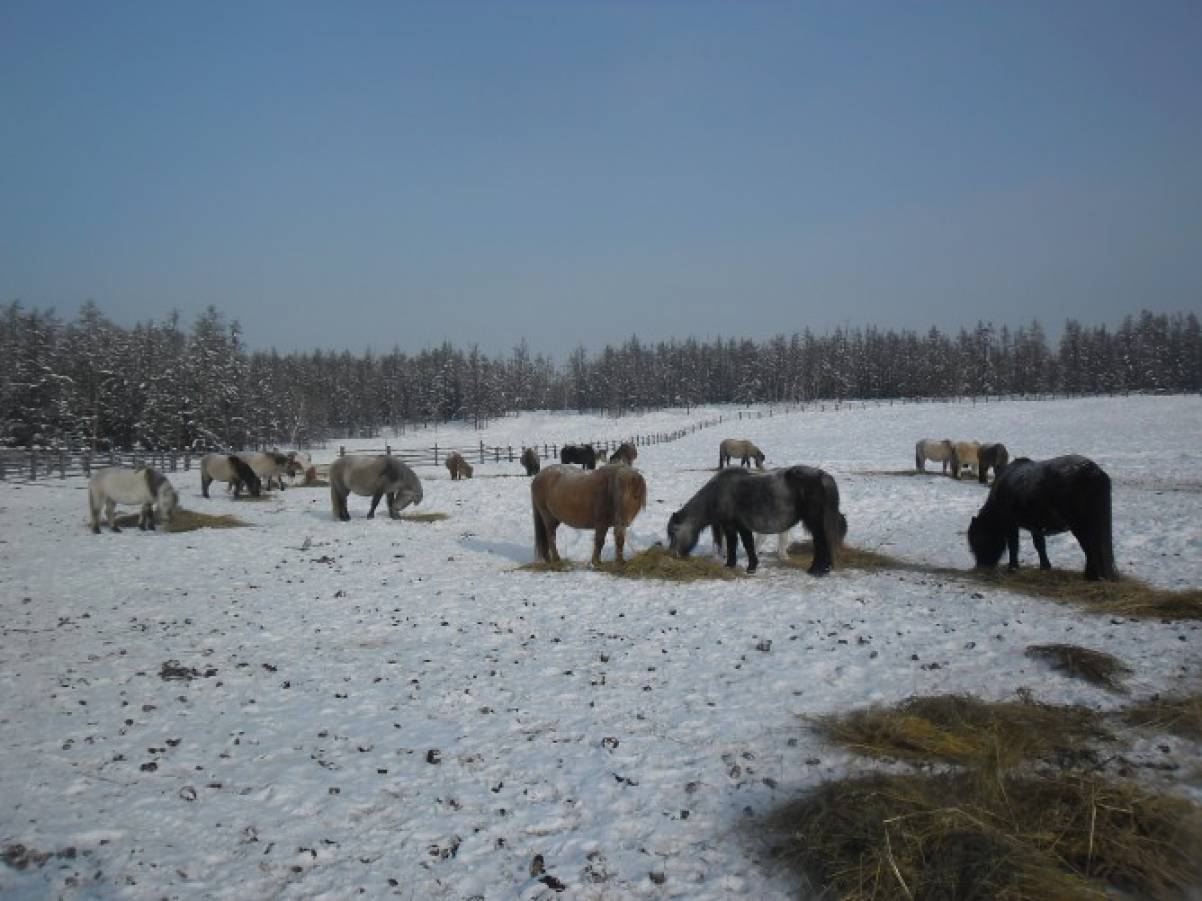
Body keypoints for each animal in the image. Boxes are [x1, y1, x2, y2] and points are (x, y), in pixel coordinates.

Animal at [668, 466, 846, 579]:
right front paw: (741, 566)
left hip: (814, 523)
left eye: (674, 532)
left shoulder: (735, 526)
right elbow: (741, 545)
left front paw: (741, 566)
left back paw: (816, 570)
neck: (719, 493)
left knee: (820, 543)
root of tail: (822, 476)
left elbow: (740, 545)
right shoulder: (737, 527)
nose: (674, 554)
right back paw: (825, 568)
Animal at [966, 454, 1115, 581]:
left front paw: (1012, 568)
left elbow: (1014, 546)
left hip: (1081, 526)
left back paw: (1090, 576)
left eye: (978, 538)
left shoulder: (1011, 525)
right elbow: (1039, 545)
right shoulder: (1036, 526)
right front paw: (1045, 567)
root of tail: (1093, 472)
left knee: (1090, 548)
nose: (981, 567)